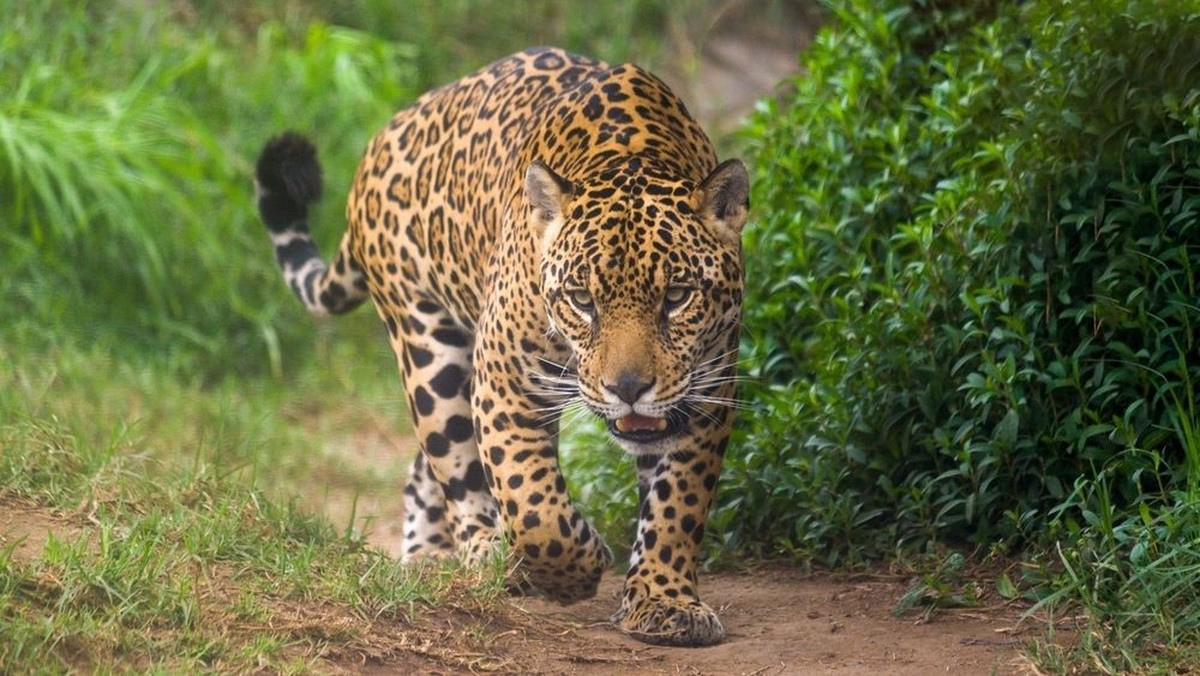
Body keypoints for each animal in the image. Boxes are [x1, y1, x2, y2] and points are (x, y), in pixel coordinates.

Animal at [253, 47, 748, 647]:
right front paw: (574, 570)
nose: (628, 389)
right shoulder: (504, 384)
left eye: (676, 296)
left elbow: (678, 505)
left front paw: (664, 601)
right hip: (429, 348)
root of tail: (384, 139)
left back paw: (433, 554)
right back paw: (482, 554)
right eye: (582, 299)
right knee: (453, 458)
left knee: (426, 468)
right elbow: (533, 506)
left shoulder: (707, 395)